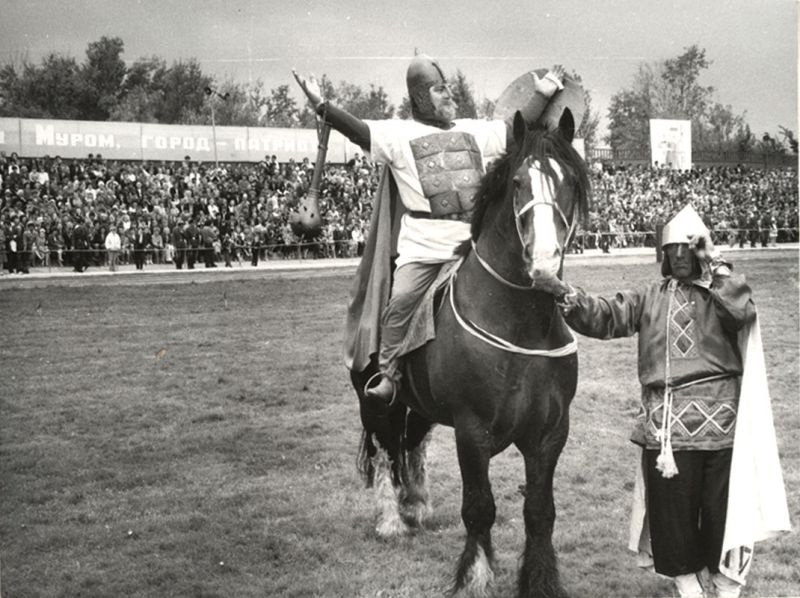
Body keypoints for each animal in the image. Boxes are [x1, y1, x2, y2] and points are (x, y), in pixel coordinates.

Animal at [354, 110, 592, 596]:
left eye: (569, 183)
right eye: (517, 182)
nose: (544, 264)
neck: (519, 323)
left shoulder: (550, 434)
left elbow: (540, 512)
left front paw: (540, 580)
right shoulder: (472, 431)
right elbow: (480, 507)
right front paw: (475, 575)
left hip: (420, 408)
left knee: (413, 444)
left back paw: (416, 505)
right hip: (377, 403)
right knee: (387, 448)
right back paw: (391, 520)